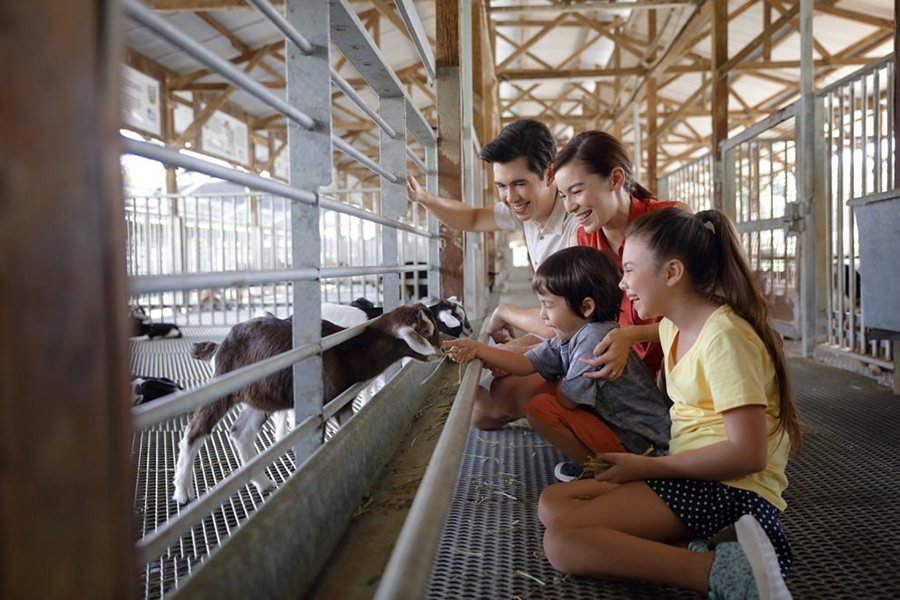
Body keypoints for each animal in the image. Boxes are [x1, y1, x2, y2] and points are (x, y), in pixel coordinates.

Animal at [171, 302, 442, 504]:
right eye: (427, 331)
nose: (441, 351)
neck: (350, 349)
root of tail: (221, 344)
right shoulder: (327, 404)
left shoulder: (343, 401)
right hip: (222, 386)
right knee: (195, 431)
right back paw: (182, 492)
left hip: (262, 397)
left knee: (241, 432)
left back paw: (264, 484)